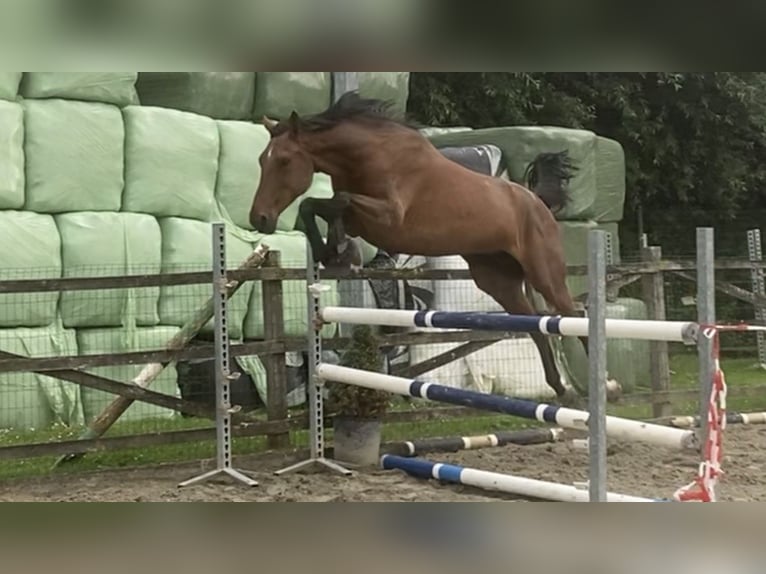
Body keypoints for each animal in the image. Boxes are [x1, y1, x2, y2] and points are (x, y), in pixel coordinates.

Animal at [249, 92, 585, 406]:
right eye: (261, 160)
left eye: (284, 161)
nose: (259, 218)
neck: (367, 155)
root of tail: (537, 202)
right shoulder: (363, 220)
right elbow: (319, 205)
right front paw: (333, 253)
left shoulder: (389, 218)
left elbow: (337, 201)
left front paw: (339, 250)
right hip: (498, 280)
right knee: (536, 325)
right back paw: (559, 388)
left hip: (544, 273)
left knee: (572, 314)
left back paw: (587, 391)